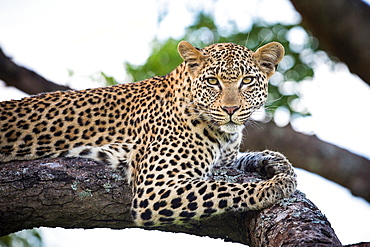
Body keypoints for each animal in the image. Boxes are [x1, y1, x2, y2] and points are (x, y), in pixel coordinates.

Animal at [0, 41, 296, 227]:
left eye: (247, 81)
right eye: (213, 81)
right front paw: (274, 186)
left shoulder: (225, 158)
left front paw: (279, 164)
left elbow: (244, 159)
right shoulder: (156, 188)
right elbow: (224, 188)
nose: (231, 109)